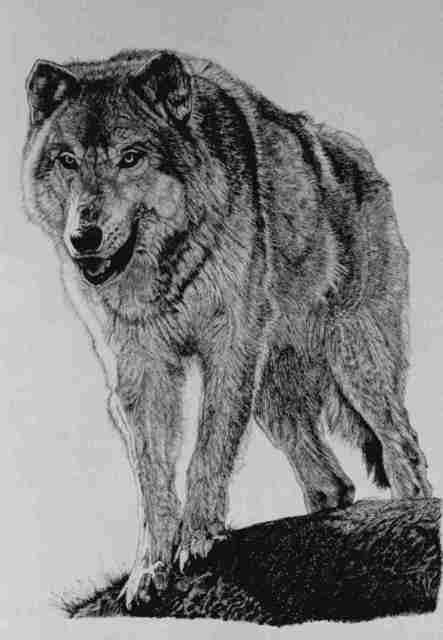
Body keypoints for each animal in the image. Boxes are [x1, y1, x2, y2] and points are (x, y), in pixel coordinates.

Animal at [22, 49, 432, 607]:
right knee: (333, 483)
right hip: (272, 398)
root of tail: (364, 161)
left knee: (401, 443)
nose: (84, 236)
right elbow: (152, 478)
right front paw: (148, 568)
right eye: (67, 160)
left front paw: (197, 537)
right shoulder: (140, 372)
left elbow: (207, 450)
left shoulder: (229, 350)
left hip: (354, 363)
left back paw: (413, 506)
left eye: (131, 157)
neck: (166, 265)